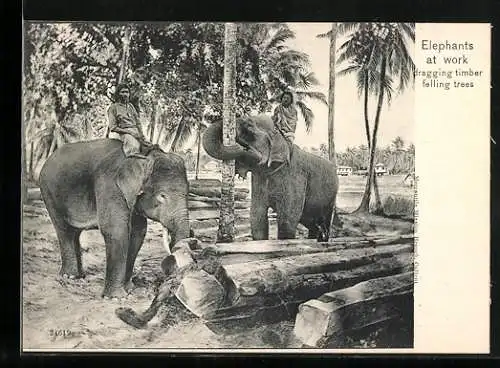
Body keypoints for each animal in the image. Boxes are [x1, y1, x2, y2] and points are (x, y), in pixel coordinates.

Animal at [38, 139, 191, 300]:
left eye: (187, 193)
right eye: (162, 196)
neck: (142, 154)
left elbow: (138, 233)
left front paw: (130, 289)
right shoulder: (111, 187)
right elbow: (116, 231)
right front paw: (116, 297)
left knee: (75, 233)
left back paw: (80, 276)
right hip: (49, 193)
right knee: (64, 230)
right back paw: (70, 277)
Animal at [203, 115, 340, 242]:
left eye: (249, 127)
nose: (241, 147)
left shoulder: (296, 176)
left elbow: (287, 219)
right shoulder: (259, 178)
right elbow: (257, 216)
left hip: (331, 199)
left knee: (323, 222)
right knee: (312, 223)